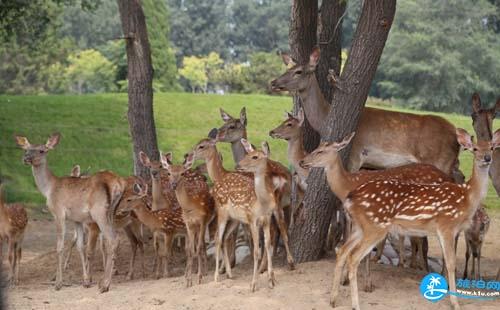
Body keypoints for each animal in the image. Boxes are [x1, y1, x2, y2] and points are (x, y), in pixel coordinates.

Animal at [15, 134, 127, 294]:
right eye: (26, 149)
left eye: (42, 150)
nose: (26, 158)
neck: (49, 190)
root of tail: (119, 183)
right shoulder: (77, 219)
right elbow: (80, 246)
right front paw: (85, 281)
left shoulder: (58, 213)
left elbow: (60, 246)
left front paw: (58, 283)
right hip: (112, 211)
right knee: (109, 240)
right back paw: (103, 281)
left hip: (99, 211)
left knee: (113, 239)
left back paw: (104, 285)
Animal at [161, 151, 214, 286]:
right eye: (169, 172)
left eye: (182, 173)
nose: (174, 184)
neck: (190, 207)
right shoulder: (189, 225)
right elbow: (190, 250)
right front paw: (189, 280)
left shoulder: (202, 221)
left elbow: (198, 248)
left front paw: (199, 277)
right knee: (196, 247)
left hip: (207, 223)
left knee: (203, 245)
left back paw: (205, 272)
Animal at [328, 128, 500, 310]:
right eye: (475, 148)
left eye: (492, 148)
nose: (486, 158)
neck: (466, 197)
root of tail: (350, 199)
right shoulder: (446, 225)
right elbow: (451, 262)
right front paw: (455, 303)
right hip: (374, 227)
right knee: (353, 257)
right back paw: (355, 303)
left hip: (361, 227)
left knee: (342, 250)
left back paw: (333, 300)